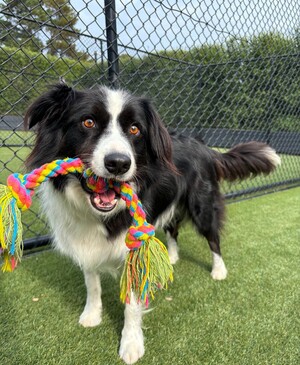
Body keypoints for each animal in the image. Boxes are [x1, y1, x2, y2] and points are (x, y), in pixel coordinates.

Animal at [24, 84, 280, 362]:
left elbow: (132, 304)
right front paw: (91, 315)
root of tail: (204, 146)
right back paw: (173, 257)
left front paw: (131, 344)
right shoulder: (84, 239)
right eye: (88, 122)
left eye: (135, 129)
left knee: (212, 236)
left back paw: (219, 270)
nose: (119, 164)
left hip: (202, 204)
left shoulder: (135, 243)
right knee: (172, 228)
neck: (100, 213)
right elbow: (91, 282)